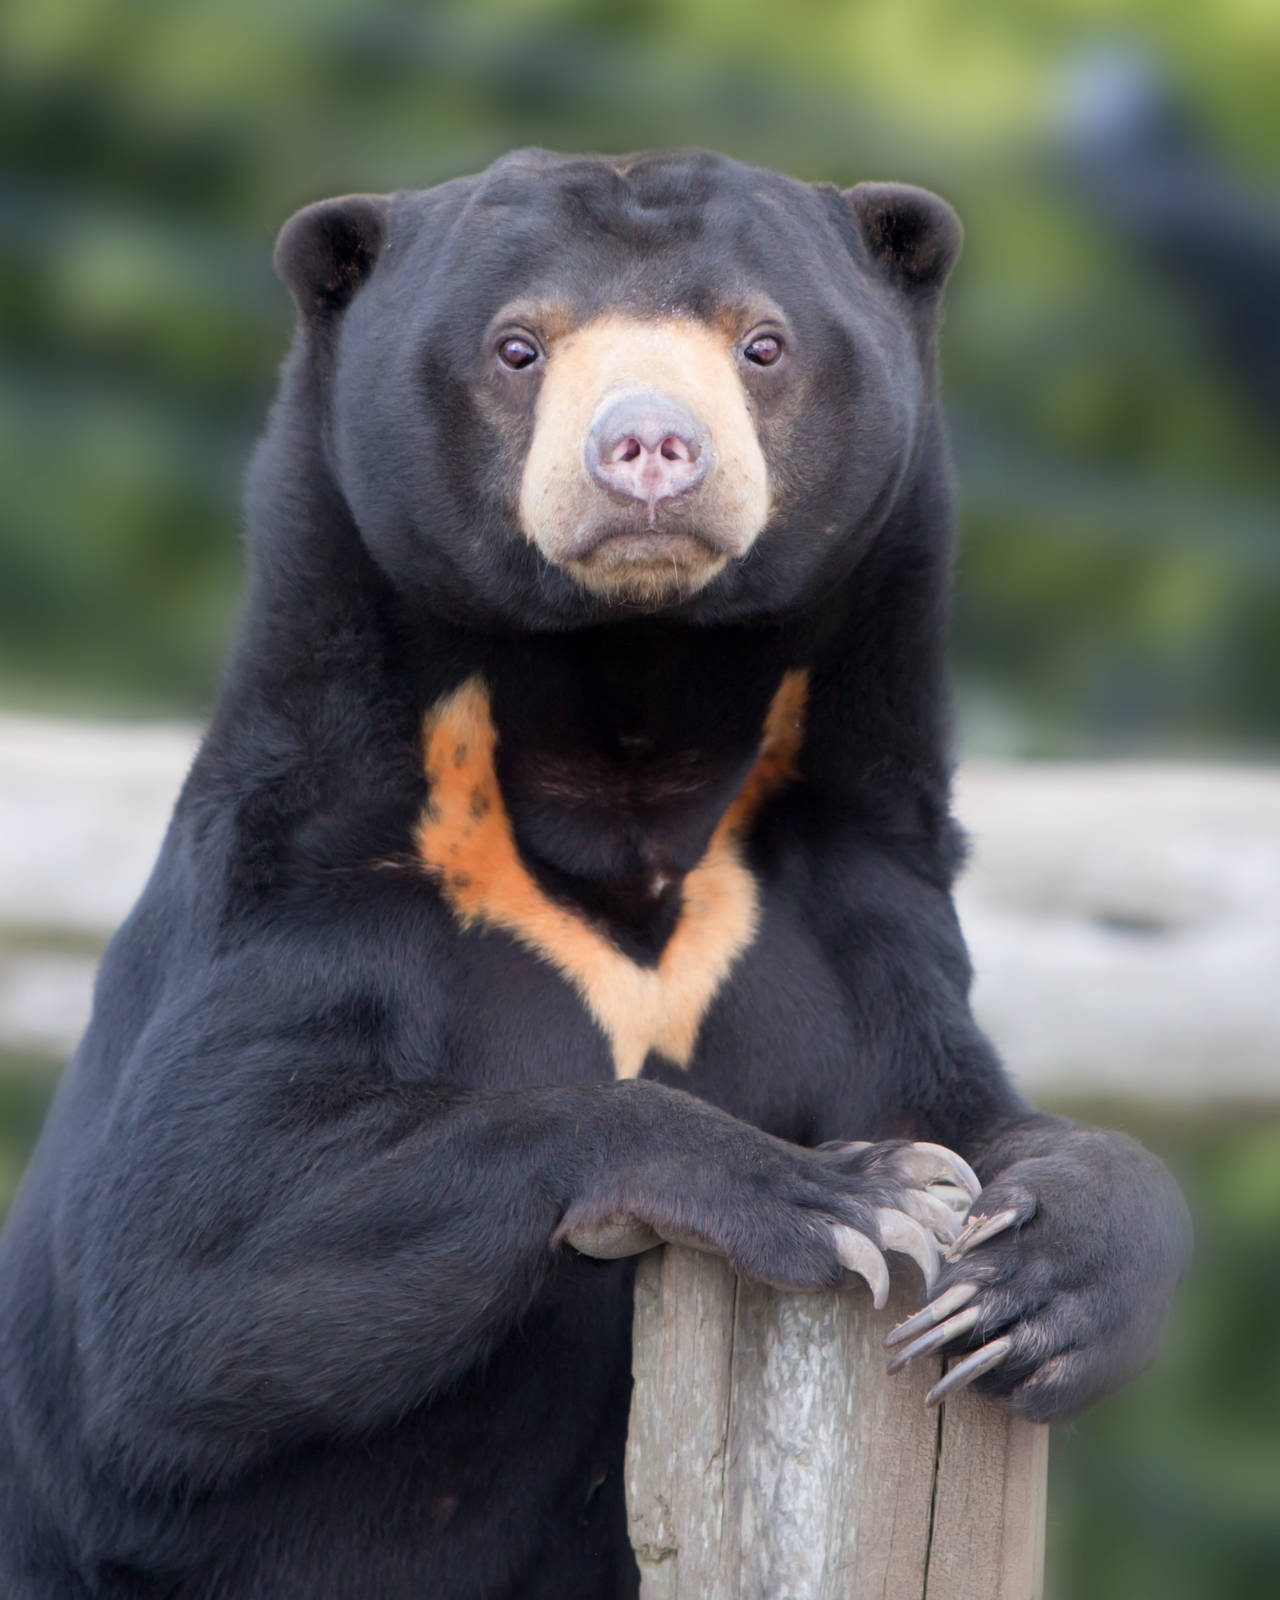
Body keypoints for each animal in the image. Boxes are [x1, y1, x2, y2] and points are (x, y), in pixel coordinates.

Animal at [0, 148, 1188, 1599]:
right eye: (518, 346)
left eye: (760, 340)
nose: (649, 450)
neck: (625, 752)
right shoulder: (308, 881)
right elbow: (174, 1277)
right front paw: (847, 1196)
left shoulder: (853, 904)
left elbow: (970, 1109)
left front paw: (1037, 1284)